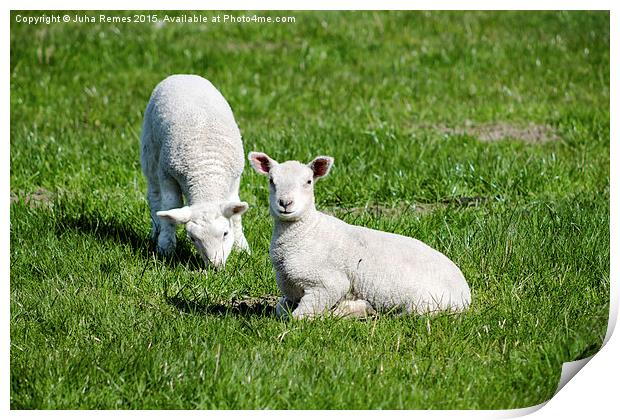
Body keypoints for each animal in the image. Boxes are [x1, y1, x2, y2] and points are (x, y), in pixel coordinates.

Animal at [140, 74, 249, 270]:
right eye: (192, 238)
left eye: (225, 233)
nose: (215, 267)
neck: (206, 175)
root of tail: (182, 75)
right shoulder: (167, 174)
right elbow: (170, 205)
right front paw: (166, 247)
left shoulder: (234, 179)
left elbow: (236, 213)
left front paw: (242, 248)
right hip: (149, 153)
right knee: (154, 196)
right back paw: (156, 231)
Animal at [247, 151, 470, 318]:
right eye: (271, 180)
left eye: (309, 181)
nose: (285, 203)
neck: (307, 232)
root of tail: (465, 295)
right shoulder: (291, 292)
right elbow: (280, 309)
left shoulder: (327, 284)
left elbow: (299, 317)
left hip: (423, 304)